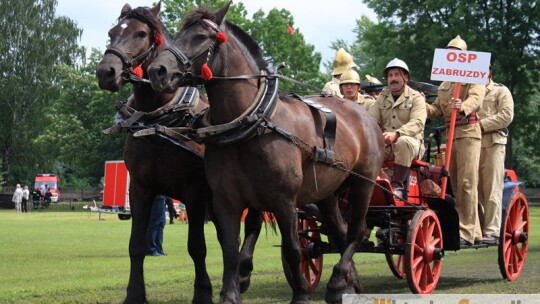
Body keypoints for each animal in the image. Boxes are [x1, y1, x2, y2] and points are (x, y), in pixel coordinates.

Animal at [97, 1, 266, 302]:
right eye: (112, 33)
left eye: (141, 34)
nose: (106, 72)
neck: (159, 122)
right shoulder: (140, 189)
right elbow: (136, 245)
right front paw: (134, 293)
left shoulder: (194, 191)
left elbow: (197, 246)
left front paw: (202, 292)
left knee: (251, 225)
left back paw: (243, 273)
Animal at [148, 2, 384, 304]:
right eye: (177, 34)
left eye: (200, 37)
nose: (157, 71)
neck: (252, 124)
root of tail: (363, 114)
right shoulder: (226, 200)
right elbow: (230, 249)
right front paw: (230, 294)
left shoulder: (284, 201)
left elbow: (293, 249)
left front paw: (301, 295)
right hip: (327, 192)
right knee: (340, 232)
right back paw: (346, 284)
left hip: (363, 184)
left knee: (357, 231)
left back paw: (337, 282)